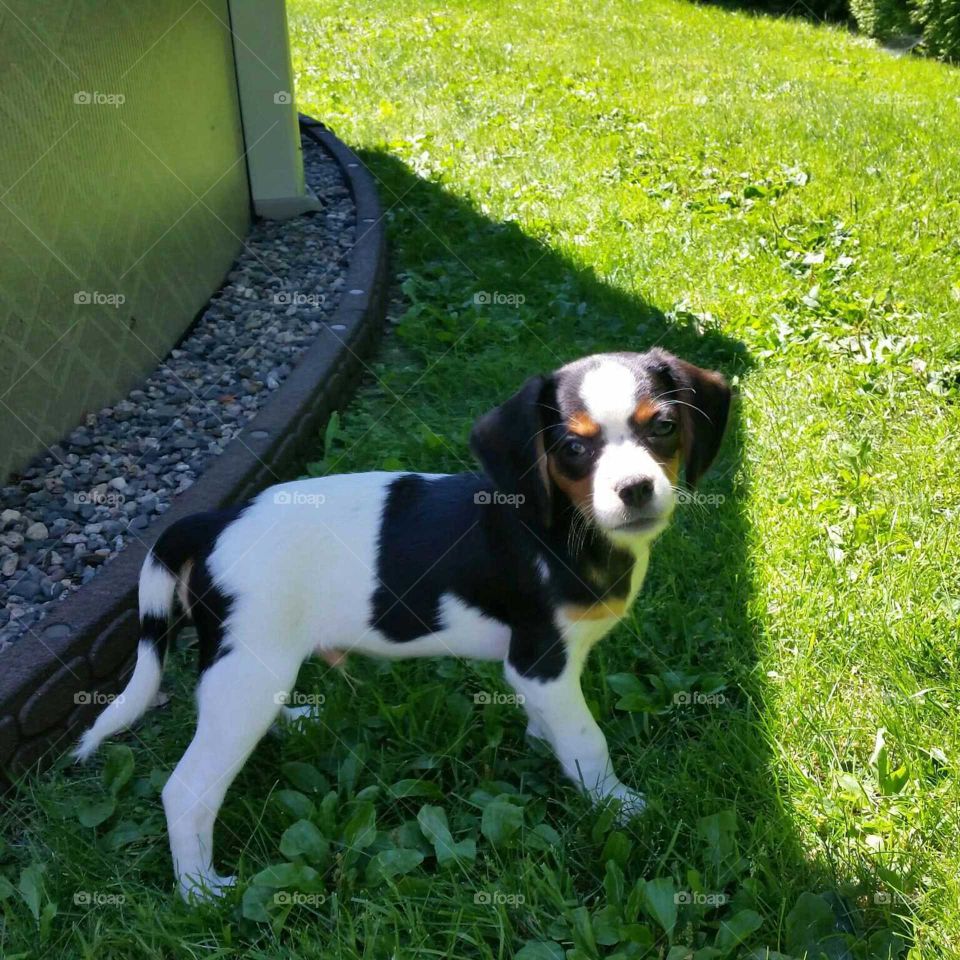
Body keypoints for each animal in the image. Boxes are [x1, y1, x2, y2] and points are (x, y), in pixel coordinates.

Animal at [75, 346, 732, 900]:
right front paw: (616, 804)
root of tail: (214, 521)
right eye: (574, 448)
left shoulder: (540, 675)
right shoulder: (541, 663)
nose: (636, 489)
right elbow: (587, 741)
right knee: (185, 792)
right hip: (246, 676)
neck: (565, 526)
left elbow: (554, 727)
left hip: (251, 671)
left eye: (662, 427)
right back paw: (201, 892)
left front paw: (546, 746)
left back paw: (291, 724)